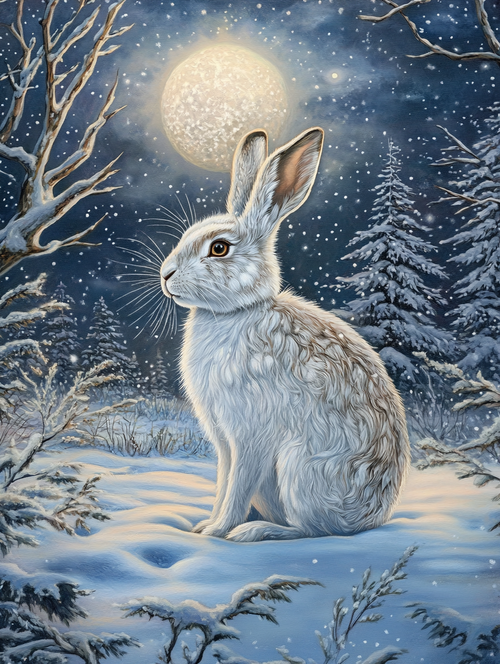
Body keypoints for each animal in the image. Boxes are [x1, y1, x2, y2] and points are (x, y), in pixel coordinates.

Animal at [159, 126, 410, 542]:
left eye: (219, 248)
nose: (166, 275)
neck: (238, 311)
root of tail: (371, 518)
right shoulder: (223, 442)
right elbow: (223, 481)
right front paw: (204, 526)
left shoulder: (250, 435)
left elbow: (237, 485)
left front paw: (218, 532)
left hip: (298, 467)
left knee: (312, 530)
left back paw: (254, 532)